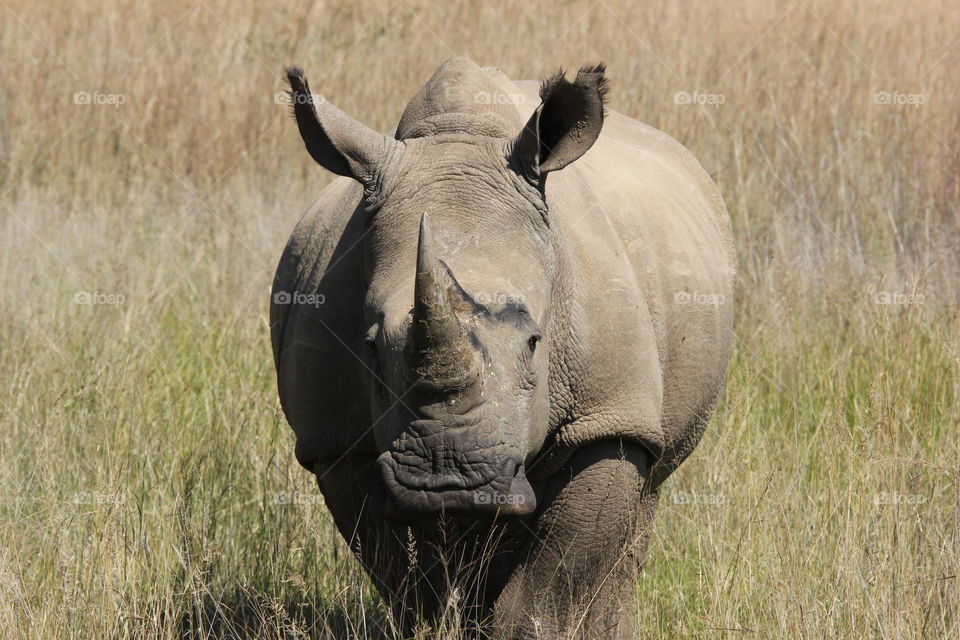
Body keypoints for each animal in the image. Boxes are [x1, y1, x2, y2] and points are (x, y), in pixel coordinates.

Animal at [270, 57, 734, 638]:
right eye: (371, 349)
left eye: (536, 343)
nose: (448, 479)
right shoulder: (335, 440)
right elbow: (409, 584)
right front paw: (439, 621)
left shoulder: (609, 417)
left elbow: (550, 590)